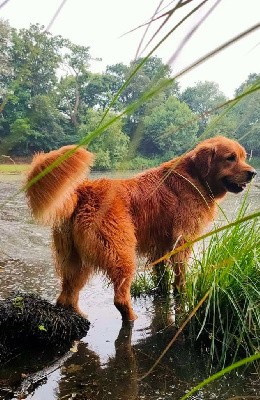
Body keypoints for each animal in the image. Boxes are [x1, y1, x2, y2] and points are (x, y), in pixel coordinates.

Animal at [26, 138, 256, 322]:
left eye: (243, 157)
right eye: (230, 158)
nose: (253, 173)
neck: (195, 178)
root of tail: (84, 190)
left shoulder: (161, 247)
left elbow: (162, 275)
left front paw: (164, 292)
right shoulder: (183, 240)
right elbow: (180, 275)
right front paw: (182, 292)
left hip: (76, 261)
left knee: (66, 296)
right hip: (121, 253)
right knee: (119, 298)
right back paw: (131, 318)